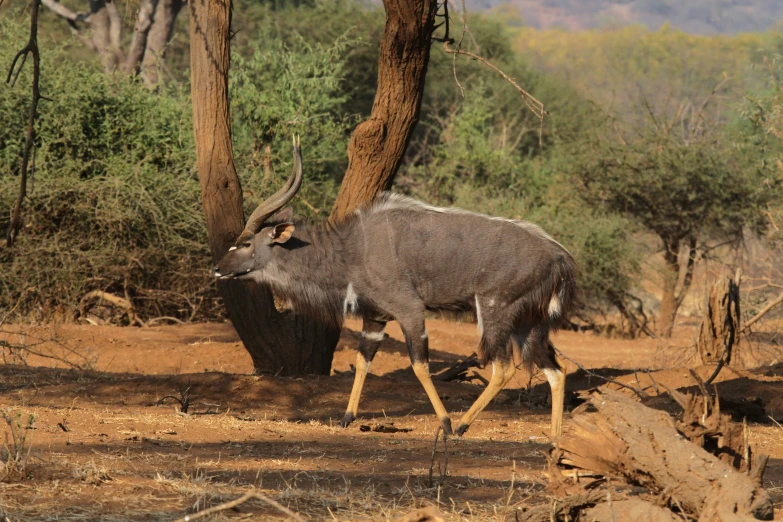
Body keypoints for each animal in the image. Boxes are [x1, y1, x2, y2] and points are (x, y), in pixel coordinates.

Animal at [214, 137, 576, 434]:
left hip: (494, 312)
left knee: (504, 368)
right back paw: (555, 438)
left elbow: (419, 364)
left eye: (245, 244)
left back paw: (461, 425)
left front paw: (445, 422)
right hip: (529, 324)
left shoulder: (410, 309)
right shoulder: (375, 317)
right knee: (555, 371)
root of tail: (559, 256)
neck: (351, 250)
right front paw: (346, 418)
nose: (217, 269)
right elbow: (363, 359)